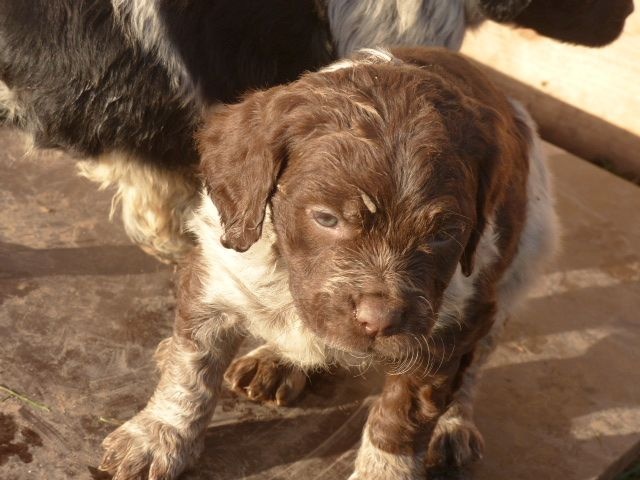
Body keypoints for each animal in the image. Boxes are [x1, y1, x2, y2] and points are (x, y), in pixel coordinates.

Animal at [99, 47, 556, 480]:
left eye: (444, 233)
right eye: (326, 218)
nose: (380, 321)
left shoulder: (454, 322)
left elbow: (404, 411)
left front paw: (385, 468)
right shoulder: (218, 271)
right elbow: (191, 368)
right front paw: (157, 436)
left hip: (518, 265)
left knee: (474, 365)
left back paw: (453, 425)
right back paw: (275, 360)